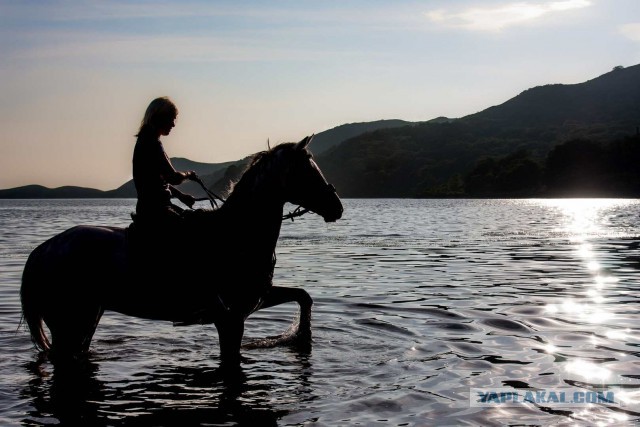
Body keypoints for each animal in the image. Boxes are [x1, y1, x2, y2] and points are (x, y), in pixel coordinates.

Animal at [20, 135, 342, 366]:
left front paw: (303, 338)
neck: (236, 234)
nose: (337, 207)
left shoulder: (255, 299)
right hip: (69, 324)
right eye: (308, 170)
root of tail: (42, 251)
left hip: (87, 318)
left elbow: (303, 296)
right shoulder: (230, 319)